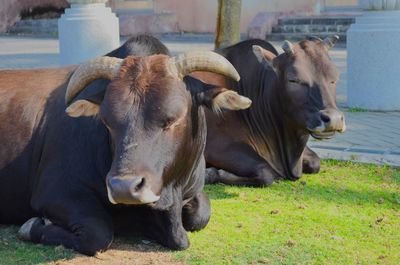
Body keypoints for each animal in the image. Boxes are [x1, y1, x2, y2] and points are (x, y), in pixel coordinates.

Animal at [0, 51, 250, 254]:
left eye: (171, 120)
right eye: (107, 121)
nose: (124, 188)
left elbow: (201, 215)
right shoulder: (56, 193)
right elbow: (98, 234)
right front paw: (31, 226)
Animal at [193, 36, 344, 186]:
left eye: (335, 78)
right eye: (293, 79)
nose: (334, 119)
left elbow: (315, 162)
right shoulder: (215, 146)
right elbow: (265, 172)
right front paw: (210, 173)